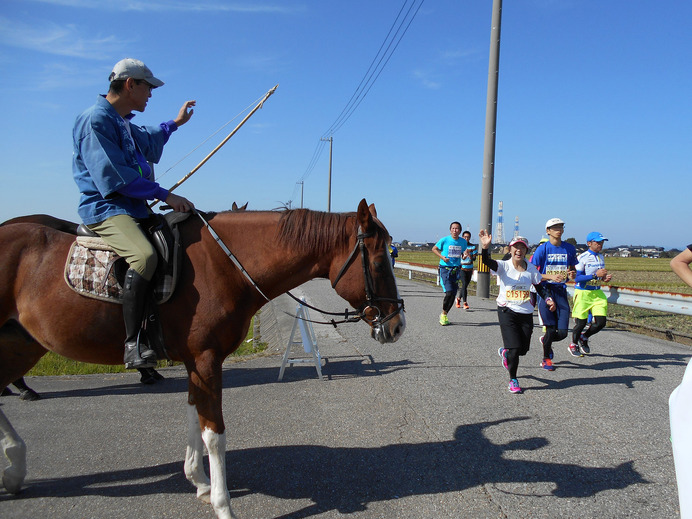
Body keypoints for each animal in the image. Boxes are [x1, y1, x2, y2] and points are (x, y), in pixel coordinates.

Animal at [0, 200, 406, 519]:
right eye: (379, 261)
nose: (398, 325)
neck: (223, 266)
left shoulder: (197, 362)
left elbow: (194, 416)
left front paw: (199, 481)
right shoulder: (206, 359)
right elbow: (214, 433)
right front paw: (223, 505)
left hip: (22, 343)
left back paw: (14, 467)